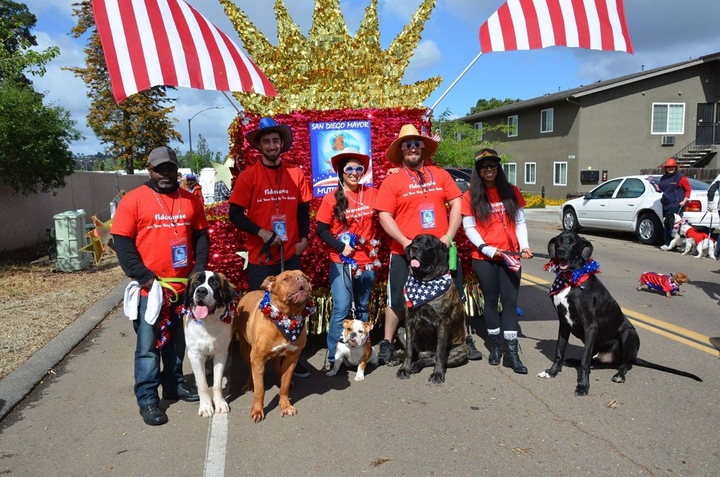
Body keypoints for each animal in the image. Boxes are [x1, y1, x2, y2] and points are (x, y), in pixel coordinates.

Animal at [183, 272, 236, 416]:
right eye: (196, 283)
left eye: (214, 284)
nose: (201, 291)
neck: (208, 323)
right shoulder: (195, 354)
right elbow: (202, 384)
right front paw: (206, 406)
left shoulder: (221, 353)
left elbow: (217, 384)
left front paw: (220, 403)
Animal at [235, 270, 314, 422]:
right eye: (286, 278)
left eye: (306, 277)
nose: (300, 278)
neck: (287, 317)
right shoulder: (257, 359)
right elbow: (260, 390)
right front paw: (257, 410)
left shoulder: (291, 358)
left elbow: (284, 386)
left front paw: (285, 406)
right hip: (245, 349)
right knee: (250, 369)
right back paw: (249, 384)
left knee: (278, 366)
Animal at [544, 230, 700, 394]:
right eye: (559, 241)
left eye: (574, 242)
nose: (561, 251)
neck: (570, 279)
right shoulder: (563, 323)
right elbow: (559, 351)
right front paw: (552, 371)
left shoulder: (590, 326)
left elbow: (585, 361)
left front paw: (583, 385)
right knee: (599, 362)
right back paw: (575, 361)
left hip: (628, 334)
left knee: (625, 364)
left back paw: (620, 374)